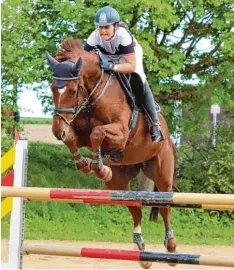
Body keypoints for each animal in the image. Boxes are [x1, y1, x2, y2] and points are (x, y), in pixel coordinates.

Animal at [46, 39, 176, 268]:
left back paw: (170, 247)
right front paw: (87, 164)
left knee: (164, 207)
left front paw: (98, 165)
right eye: (53, 88)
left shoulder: (121, 133)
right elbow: (72, 139)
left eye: (72, 91)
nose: (56, 130)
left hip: (162, 172)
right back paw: (140, 249)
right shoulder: (80, 134)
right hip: (119, 182)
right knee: (134, 206)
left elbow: (98, 133)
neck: (93, 94)